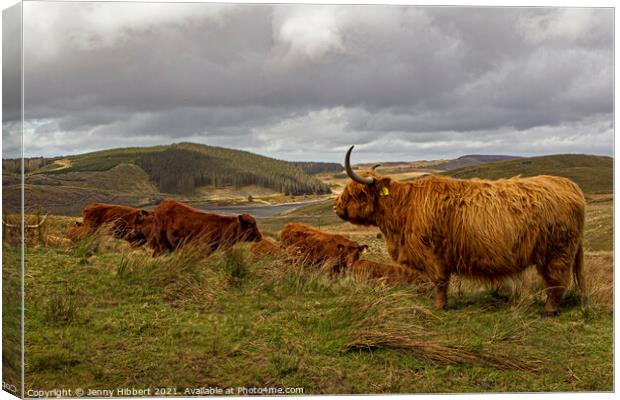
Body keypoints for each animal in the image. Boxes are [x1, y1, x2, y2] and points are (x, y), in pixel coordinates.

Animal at [334, 145, 588, 314]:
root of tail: (568, 184)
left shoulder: (433, 254)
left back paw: (549, 310)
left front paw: (439, 306)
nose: (336, 206)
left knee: (557, 280)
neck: (403, 208)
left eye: (357, 192)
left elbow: (439, 281)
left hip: (558, 252)